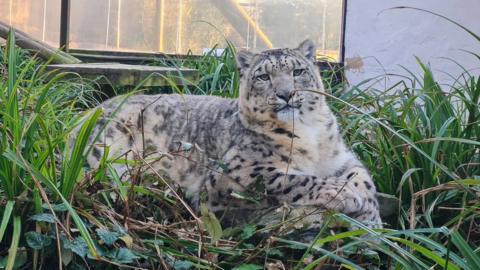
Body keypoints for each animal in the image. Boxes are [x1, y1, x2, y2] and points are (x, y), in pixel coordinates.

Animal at [82, 39, 382, 228]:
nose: (286, 94)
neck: (310, 132)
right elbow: (294, 179)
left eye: (298, 71)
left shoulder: (341, 158)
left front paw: (371, 213)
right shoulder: (239, 171)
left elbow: (364, 178)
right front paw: (344, 194)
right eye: (263, 77)